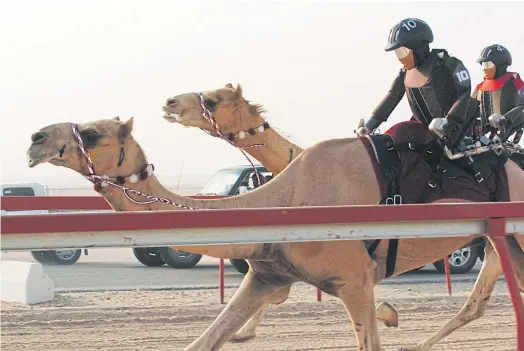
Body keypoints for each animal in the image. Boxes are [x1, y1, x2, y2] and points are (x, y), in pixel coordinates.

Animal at [27, 115, 524, 351]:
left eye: (93, 133)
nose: (35, 138)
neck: (286, 198)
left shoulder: (355, 280)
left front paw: (390, 317)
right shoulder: (267, 274)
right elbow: (205, 339)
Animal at [162, 84, 524, 350]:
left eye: (212, 100)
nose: (170, 102)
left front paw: (389, 314)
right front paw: (243, 332)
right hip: (500, 240)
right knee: (482, 299)